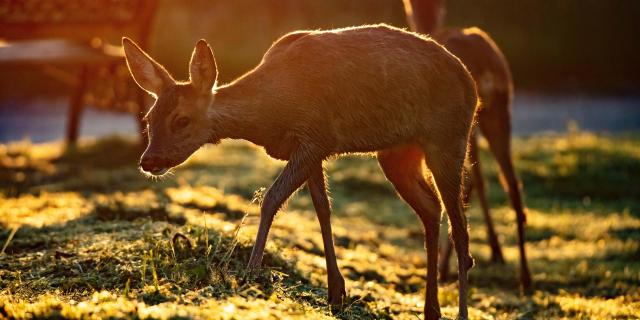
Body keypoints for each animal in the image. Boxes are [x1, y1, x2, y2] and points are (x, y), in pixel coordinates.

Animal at [122, 23, 478, 318]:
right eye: (148, 118)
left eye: (182, 119)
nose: (148, 161)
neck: (271, 111)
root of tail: (471, 84)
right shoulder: (313, 147)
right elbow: (323, 208)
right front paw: (336, 292)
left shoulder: (316, 136)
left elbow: (271, 199)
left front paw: (251, 274)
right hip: (397, 153)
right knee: (431, 208)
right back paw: (431, 309)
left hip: (449, 136)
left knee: (460, 227)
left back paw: (460, 311)